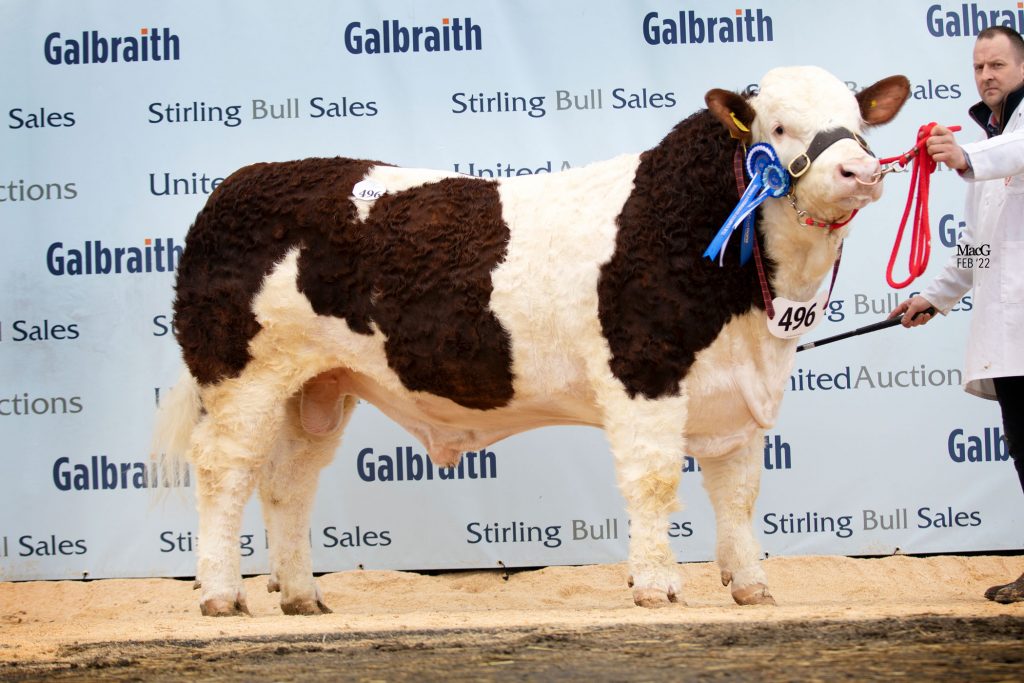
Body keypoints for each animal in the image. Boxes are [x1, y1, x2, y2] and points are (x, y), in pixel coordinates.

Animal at [149, 66, 905, 618]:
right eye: (777, 126)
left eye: (860, 121)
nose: (861, 171)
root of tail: (237, 185)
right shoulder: (643, 372)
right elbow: (655, 479)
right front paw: (657, 586)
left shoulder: (736, 393)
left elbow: (739, 492)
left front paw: (752, 587)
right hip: (240, 375)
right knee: (224, 471)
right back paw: (222, 596)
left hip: (318, 386)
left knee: (288, 482)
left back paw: (304, 598)